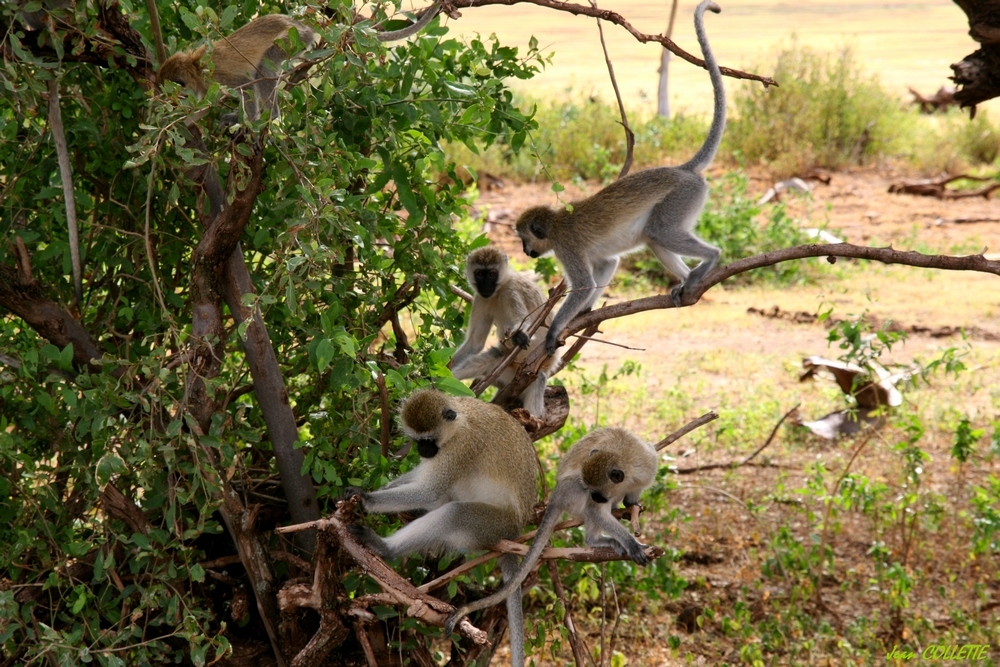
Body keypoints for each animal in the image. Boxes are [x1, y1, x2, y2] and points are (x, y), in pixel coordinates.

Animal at [344, 386, 540, 667]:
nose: (423, 450)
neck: (459, 423)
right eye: (416, 439)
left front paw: (366, 498)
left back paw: (383, 547)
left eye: (429, 438)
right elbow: (421, 477)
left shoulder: (460, 447)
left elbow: (429, 489)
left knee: (453, 512)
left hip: (492, 525)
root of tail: (515, 533)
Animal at [452, 247, 560, 418]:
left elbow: (526, 322)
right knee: (494, 355)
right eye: (480, 274)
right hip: (503, 373)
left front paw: (520, 334)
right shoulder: (481, 298)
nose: (485, 286)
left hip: (532, 375)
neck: (499, 289)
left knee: (539, 378)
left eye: (492, 274)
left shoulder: (511, 291)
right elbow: (475, 343)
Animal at [516, 0, 728, 358]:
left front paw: (556, 327)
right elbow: (607, 265)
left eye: (524, 239)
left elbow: (584, 284)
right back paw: (688, 284)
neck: (556, 225)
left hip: (682, 196)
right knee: (654, 237)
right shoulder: (599, 258)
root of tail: (683, 170)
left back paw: (710, 258)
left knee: (660, 231)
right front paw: (586, 312)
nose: (524, 251)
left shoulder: (567, 247)